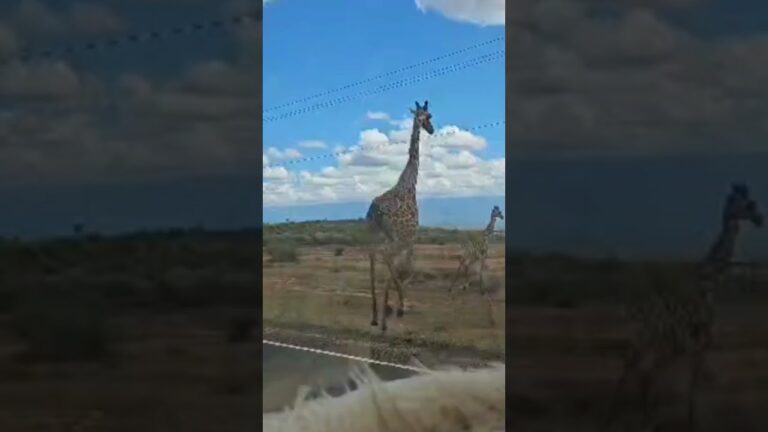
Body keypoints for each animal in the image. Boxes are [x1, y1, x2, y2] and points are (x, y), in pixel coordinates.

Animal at [366, 100, 434, 333]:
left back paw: (375, 315)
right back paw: (385, 319)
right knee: (386, 257)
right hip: (395, 239)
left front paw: (394, 306)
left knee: (372, 258)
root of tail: (375, 210)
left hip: (374, 234)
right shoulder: (411, 236)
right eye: (429, 116)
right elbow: (407, 269)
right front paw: (399, 307)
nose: (432, 129)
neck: (409, 184)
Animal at [602, 183, 763, 431]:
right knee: (639, 375)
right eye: (747, 203)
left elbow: (688, 389)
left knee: (636, 374)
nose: (760, 218)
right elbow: (692, 390)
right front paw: (691, 423)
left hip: (648, 346)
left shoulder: (689, 349)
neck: (708, 284)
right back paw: (633, 420)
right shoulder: (699, 346)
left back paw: (624, 419)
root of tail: (636, 315)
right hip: (652, 345)